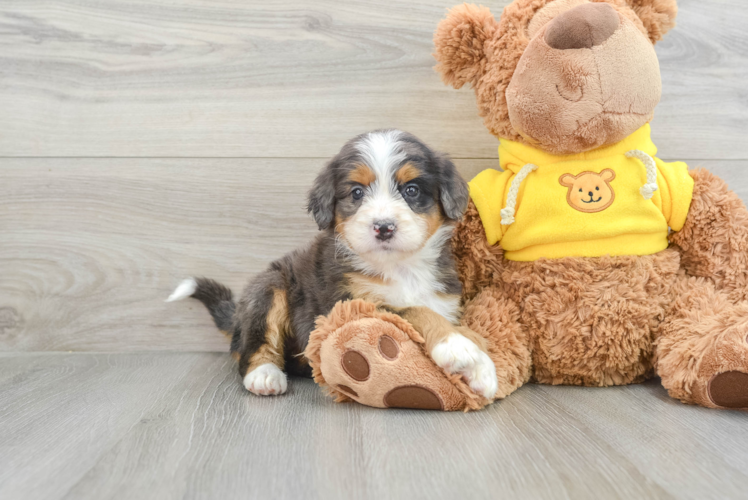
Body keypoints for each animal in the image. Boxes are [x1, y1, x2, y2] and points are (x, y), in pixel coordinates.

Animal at [167, 129, 500, 398]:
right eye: (357, 192)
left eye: (412, 190)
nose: (383, 227)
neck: (400, 268)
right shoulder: (351, 307)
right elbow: (415, 311)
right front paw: (458, 349)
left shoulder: (444, 301)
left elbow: (462, 327)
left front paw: (482, 369)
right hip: (269, 287)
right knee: (251, 346)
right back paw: (265, 375)